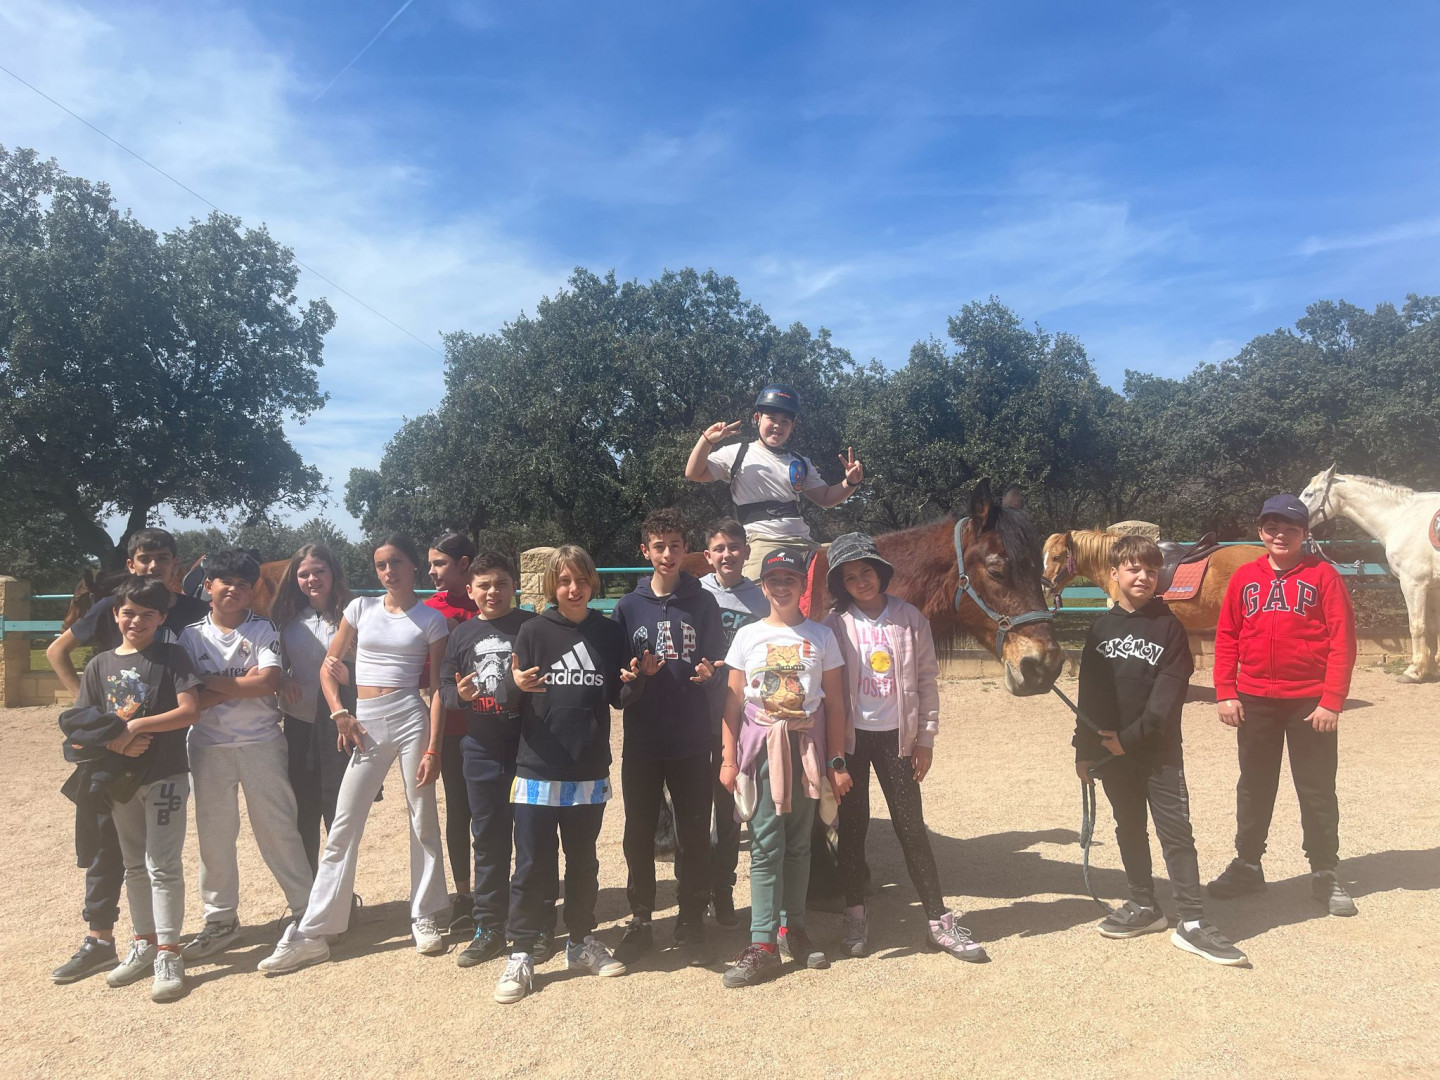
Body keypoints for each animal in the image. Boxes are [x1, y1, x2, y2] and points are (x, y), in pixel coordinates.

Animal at [1300, 465, 1440, 682]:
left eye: (1309, 494)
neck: (1401, 518)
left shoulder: (1414, 583)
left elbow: (1417, 626)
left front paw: (1413, 671)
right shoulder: (1432, 586)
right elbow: (1434, 627)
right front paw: (1432, 669)